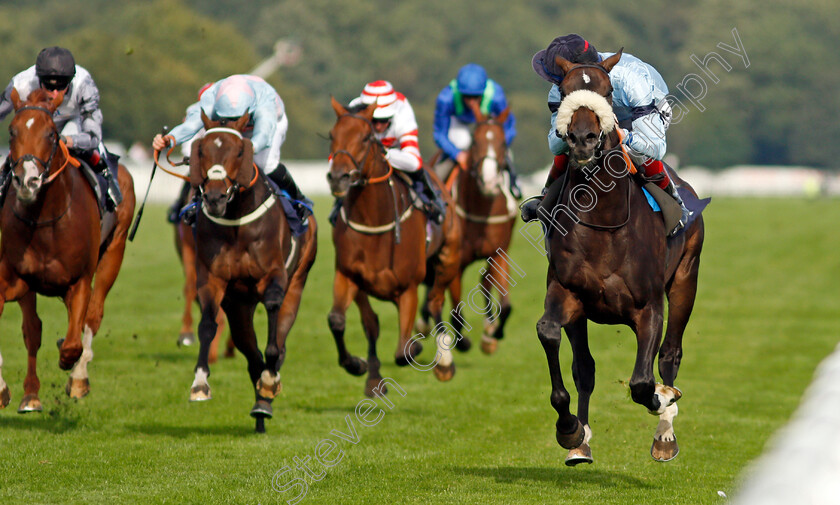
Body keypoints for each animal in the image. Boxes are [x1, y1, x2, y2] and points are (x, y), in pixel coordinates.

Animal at [0, 85, 135, 410]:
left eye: (51, 134)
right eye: (11, 131)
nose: (27, 181)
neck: (46, 219)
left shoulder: (79, 281)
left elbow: (74, 341)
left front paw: (69, 362)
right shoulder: (14, 277)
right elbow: (30, 329)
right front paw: (5, 390)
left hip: (114, 252)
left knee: (93, 317)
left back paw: (78, 378)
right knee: (33, 329)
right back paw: (31, 395)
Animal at [185, 109, 316, 430]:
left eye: (239, 152)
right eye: (202, 151)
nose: (215, 198)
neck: (237, 220)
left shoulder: (274, 276)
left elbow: (273, 330)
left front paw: (269, 380)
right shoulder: (212, 279)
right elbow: (207, 324)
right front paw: (200, 383)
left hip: (298, 282)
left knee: (279, 339)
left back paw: (267, 390)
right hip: (239, 305)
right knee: (249, 350)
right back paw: (260, 403)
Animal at [326, 96, 460, 396]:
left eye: (366, 138)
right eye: (332, 135)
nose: (338, 177)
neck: (374, 220)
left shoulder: (408, 287)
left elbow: (403, 351)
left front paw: (419, 348)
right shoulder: (348, 275)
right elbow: (343, 321)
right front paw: (360, 367)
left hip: (448, 257)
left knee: (435, 301)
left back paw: (444, 362)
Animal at [418, 102, 520, 354]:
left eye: (503, 143)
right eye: (474, 141)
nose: (489, 181)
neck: (482, 209)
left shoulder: (499, 253)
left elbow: (506, 304)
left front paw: (493, 334)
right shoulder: (457, 260)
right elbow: (455, 310)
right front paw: (462, 341)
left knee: (484, 280)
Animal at [536, 52, 704, 464]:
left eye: (608, 91)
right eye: (563, 93)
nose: (582, 139)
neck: (604, 222)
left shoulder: (650, 307)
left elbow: (644, 381)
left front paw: (661, 399)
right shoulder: (566, 293)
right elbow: (550, 334)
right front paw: (569, 428)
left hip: (685, 281)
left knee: (670, 354)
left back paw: (665, 433)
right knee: (584, 367)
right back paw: (580, 441)